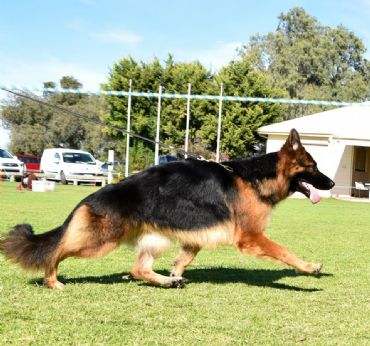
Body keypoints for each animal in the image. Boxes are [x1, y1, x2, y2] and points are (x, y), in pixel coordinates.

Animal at [0, 128, 336, 288]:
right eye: (314, 167)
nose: (332, 183)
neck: (253, 178)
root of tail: (87, 199)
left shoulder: (194, 237)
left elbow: (184, 258)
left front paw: (175, 272)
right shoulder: (251, 237)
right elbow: (284, 251)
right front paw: (308, 268)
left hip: (155, 238)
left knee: (138, 269)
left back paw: (167, 281)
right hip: (100, 241)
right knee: (55, 251)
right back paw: (52, 280)